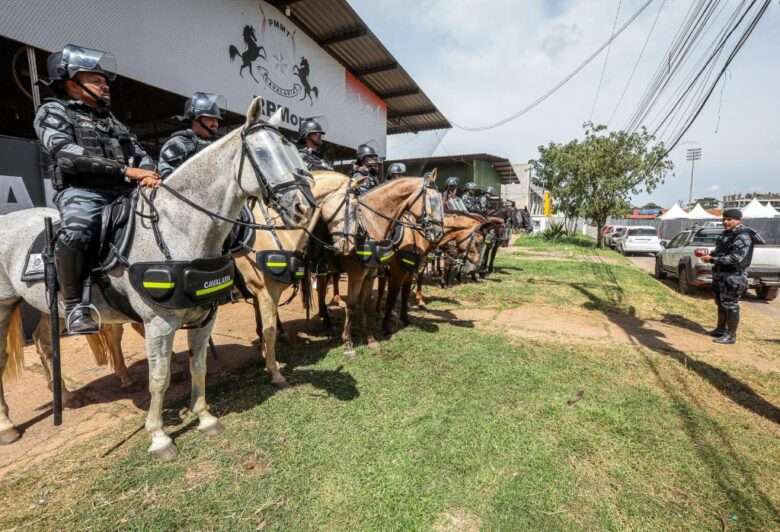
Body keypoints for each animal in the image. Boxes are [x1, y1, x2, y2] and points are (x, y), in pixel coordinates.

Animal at [1, 97, 316, 460]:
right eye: (262, 152)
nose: (303, 207)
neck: (179, 227)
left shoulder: (206, 315)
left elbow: (198, 365)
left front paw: (205, 417)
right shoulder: (160, 322)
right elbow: (159, 377)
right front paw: (159, 436)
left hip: (47, 305)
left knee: (44, 342)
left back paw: (65, 396)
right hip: (7, 305)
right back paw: (8, 426)